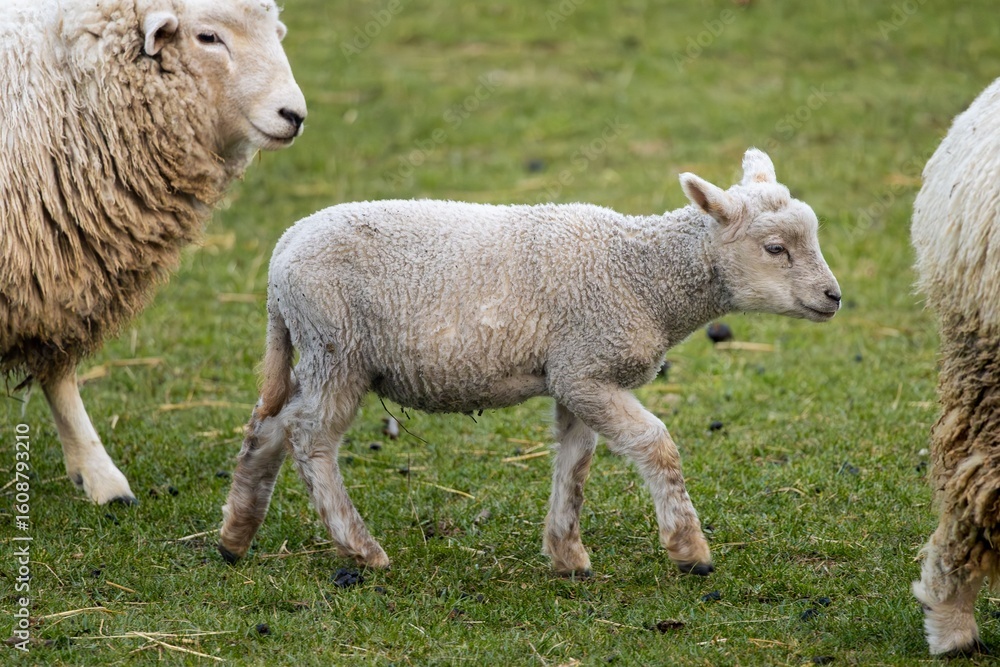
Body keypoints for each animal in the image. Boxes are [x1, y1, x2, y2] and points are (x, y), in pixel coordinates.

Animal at [0, 0, 306, 505]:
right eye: (208, 37)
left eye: (276, 33)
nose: (294, 114)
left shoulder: (58, 270)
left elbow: (59, 373)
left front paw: (99, 476)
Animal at [218, 148, 842, 576]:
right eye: (775, 249)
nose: (834, 296)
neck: (645, 276)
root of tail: (282, 252)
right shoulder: (586, 368)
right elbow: (656, 446)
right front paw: (689, 550)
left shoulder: (575, 373)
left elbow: (576, 463)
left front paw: (567, 553)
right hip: (337, 347)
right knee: (311, 438)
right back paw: (361, 548)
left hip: (316, 349)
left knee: (268, 425)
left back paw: (235, 536)